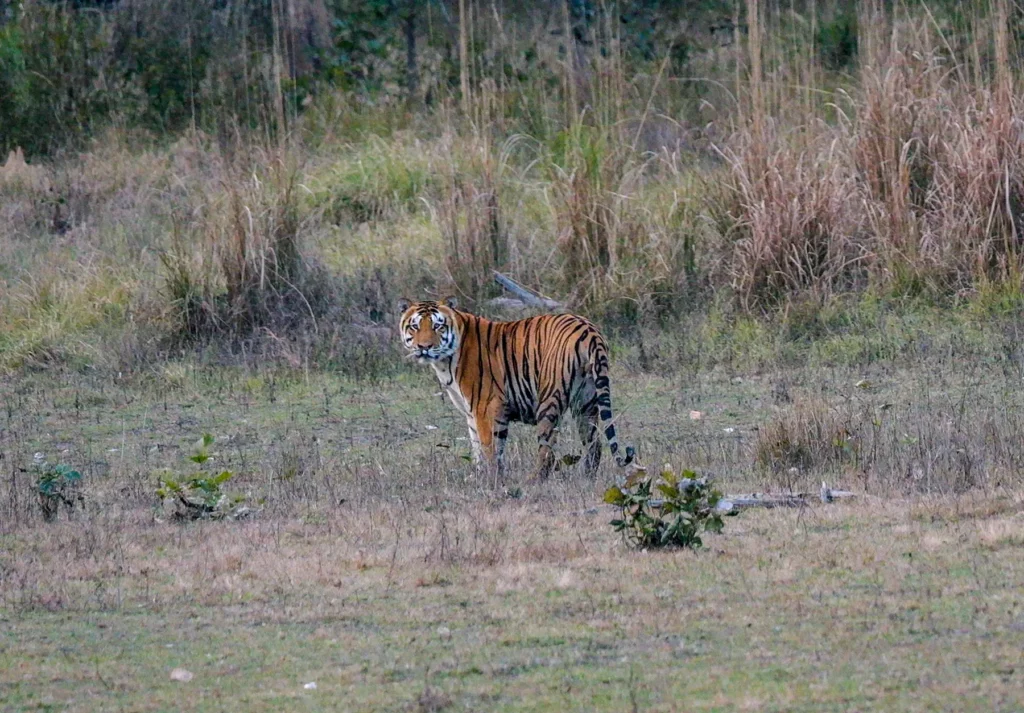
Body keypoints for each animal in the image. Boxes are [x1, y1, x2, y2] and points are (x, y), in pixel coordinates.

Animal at [397, 296, 635, 481]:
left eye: (438, 326)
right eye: (415, 326)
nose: (424, 347)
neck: (444, 362)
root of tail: (588, 330)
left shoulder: (485, 408)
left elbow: (490, 450)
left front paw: (492, 481)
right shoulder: (471, 413)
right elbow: (478, 449)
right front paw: (480, 478)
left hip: (549, 398)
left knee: (548, 451)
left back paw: (532, 480)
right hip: (586, 402)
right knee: (594, 445)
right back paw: (586, 478)